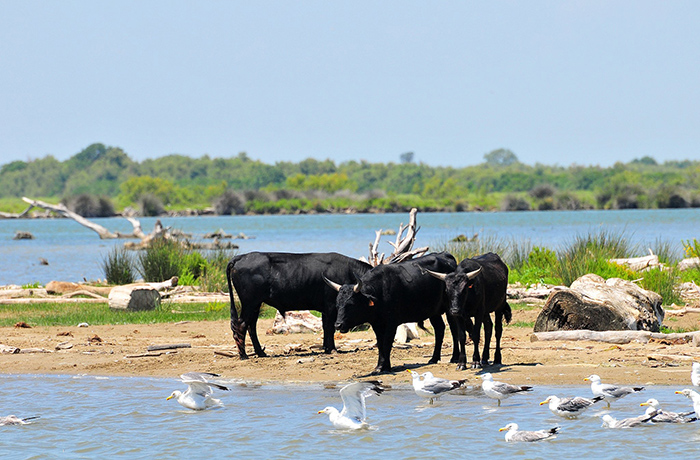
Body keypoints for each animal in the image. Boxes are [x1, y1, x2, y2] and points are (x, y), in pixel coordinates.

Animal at [228, 252, 372, 360]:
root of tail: (241, 257)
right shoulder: (331, 306)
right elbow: (330, 328)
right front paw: (332, 349)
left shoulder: (325, 309)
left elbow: (325, 327)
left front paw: (327, 348)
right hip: (249, 303)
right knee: (241, 325)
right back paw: (243, 355)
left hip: (255, 305)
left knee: (251, 326)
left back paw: (261, 353)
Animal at [326, 253, 460, 376]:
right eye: (338, 304)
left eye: (351, 304)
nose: (338, 325)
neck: (380, 291)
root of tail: (445, 255)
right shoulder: (377, 324)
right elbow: (380, 344)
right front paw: (379, 366)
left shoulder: (392, 323)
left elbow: (387, 343)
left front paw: (386, 367)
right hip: (434, 312)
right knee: (439, 329)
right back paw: (434, 358)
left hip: (451, 309)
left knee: (454, 330)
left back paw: (454, 358)